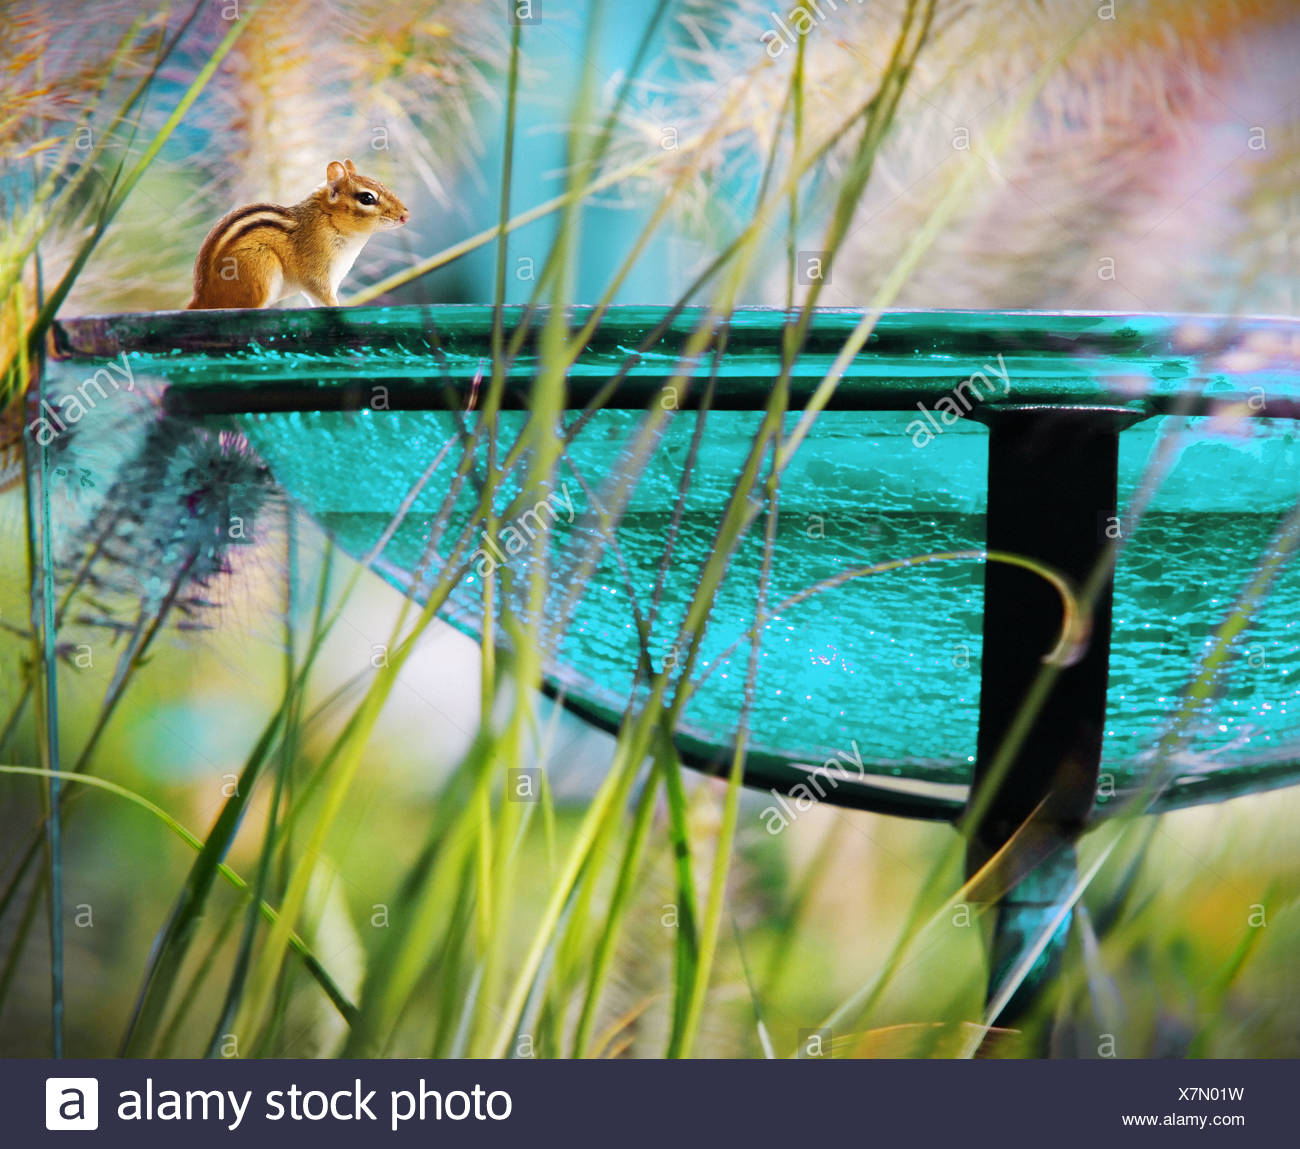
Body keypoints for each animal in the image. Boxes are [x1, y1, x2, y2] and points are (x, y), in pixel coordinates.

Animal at [186, 159, 409, 309]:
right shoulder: (317, 274)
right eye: (367, 198)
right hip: (259, 267)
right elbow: (325, 298)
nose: (406, 216)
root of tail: (201, 297)